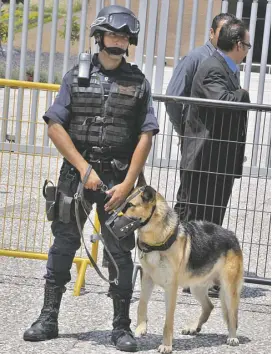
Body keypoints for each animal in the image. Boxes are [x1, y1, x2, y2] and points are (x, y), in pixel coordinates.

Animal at [124, 187, 243, 352]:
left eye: (130, 205)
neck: (158, 241)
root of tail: (232, 236)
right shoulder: (147, 279)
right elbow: (141, 304)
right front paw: (141, 328)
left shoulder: (170, 288)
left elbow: (168, 322)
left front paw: (166, 345)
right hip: (196, 288)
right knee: (209, 306)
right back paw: (193, 328)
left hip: (229, 290)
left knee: (232, 315)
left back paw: (232, 337)